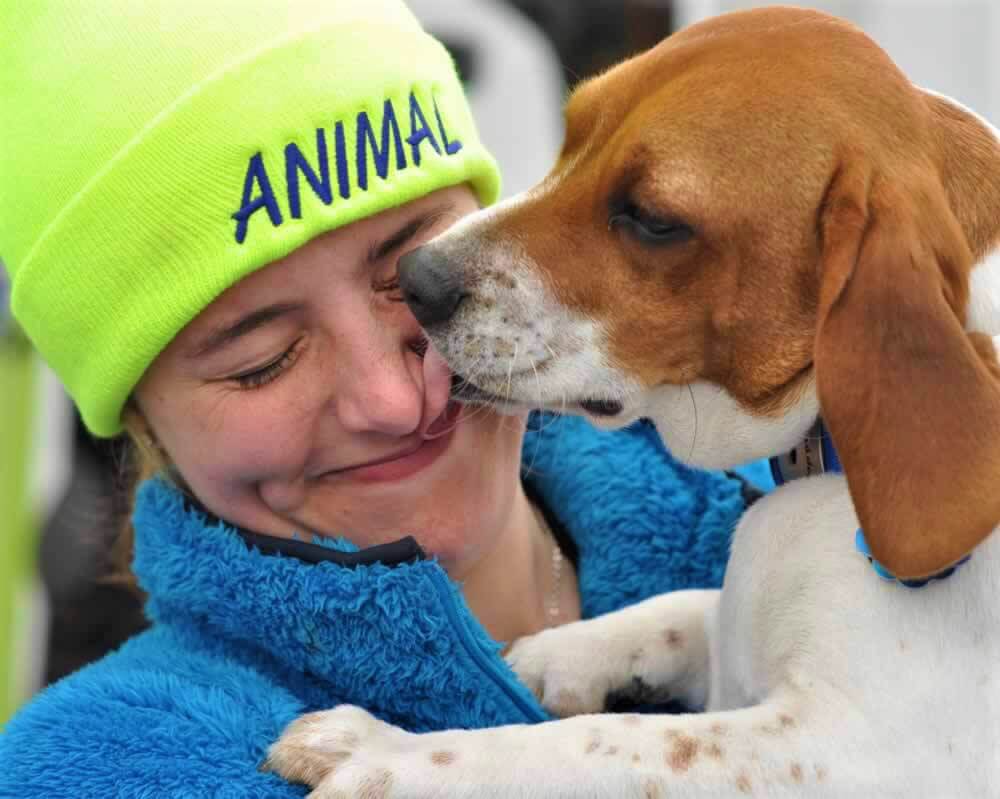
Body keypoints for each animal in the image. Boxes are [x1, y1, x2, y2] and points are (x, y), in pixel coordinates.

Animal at [266, 7, 1000, 799]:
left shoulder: (846, 750)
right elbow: (686, 608)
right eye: (573, 135)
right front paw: (557, 651)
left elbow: (601, 742)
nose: (414, 277)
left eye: (652, 219)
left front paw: (391, 753)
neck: (824, 466)